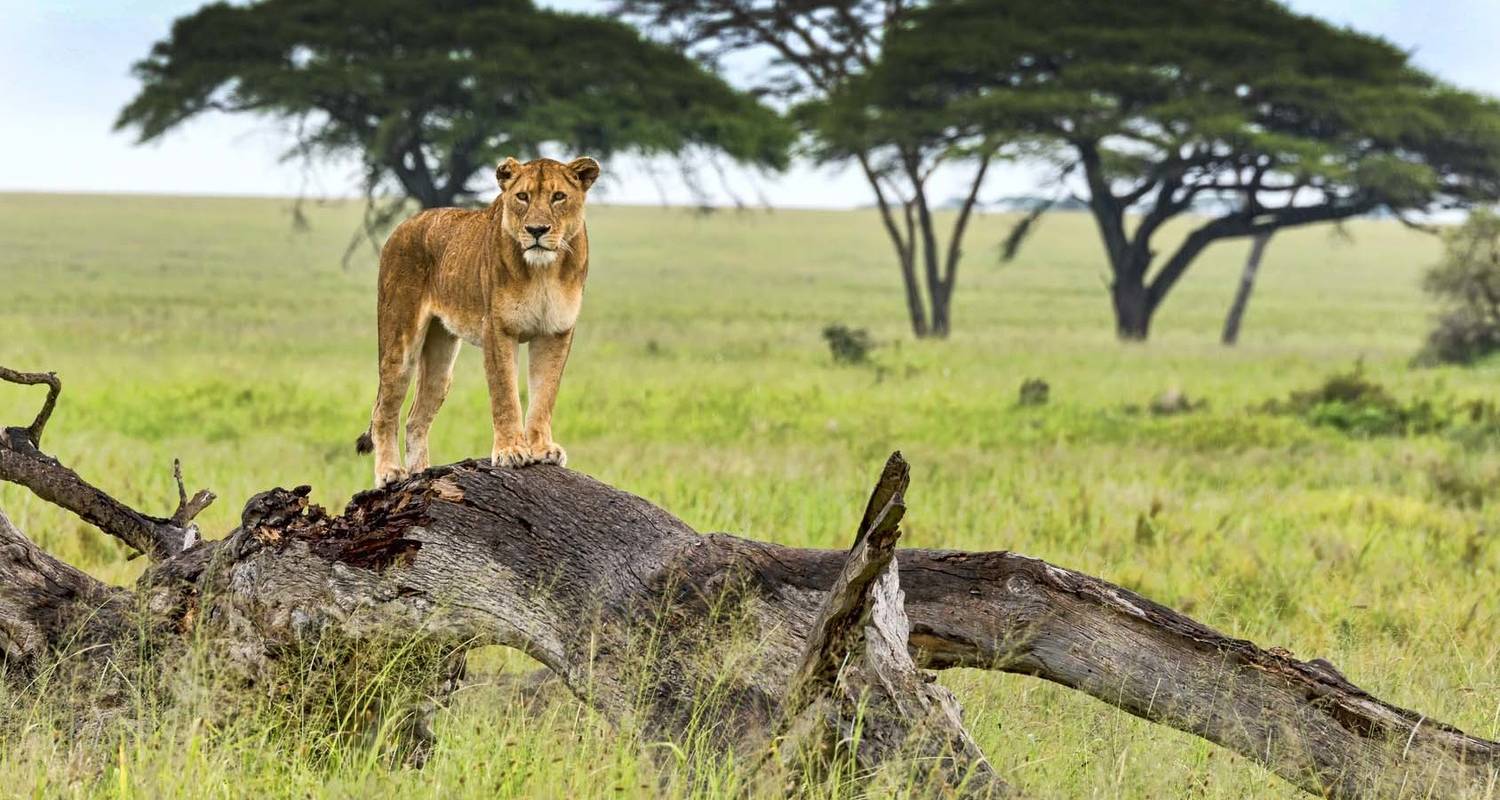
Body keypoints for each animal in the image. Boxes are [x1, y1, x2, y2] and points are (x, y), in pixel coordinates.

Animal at [355, 156, 600, 487]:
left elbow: (544, 395)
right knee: (384, 410)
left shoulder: (555, 333)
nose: (536, 230)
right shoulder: (497, 330)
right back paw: (390, 473)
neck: (543, 271)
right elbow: (505, 395)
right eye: (522, 197)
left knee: (415, 419)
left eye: (558, 197)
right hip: (399, 343)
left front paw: (543, 449)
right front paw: (511, 451)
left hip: (441, 365)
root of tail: (404, 225)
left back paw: (421, 474)